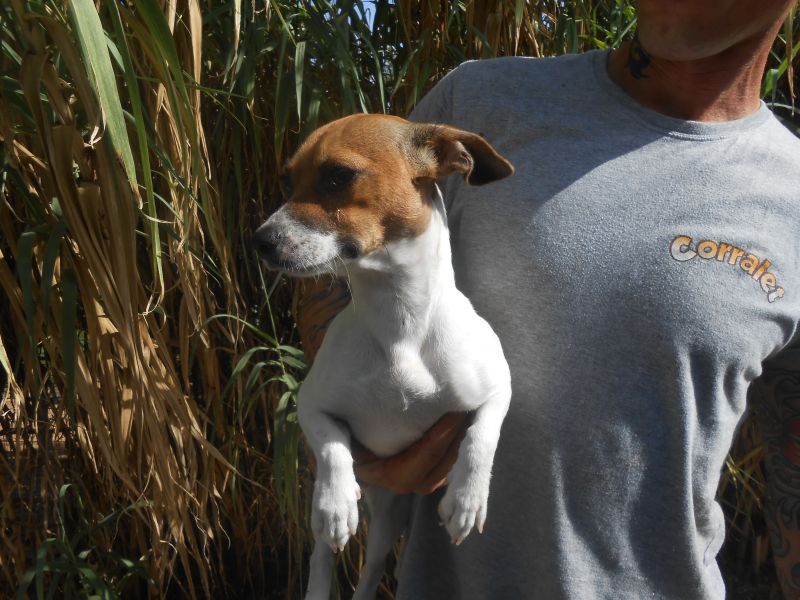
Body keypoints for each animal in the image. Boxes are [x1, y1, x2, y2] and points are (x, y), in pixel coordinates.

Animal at [255, 115, 512, 596]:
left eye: (338, 176)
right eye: (287, 180)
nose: (258, 241)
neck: (399, 321)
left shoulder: (498, 390)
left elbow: (482, 435)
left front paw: (467, 499)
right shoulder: (311, 405)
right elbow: (333, 447)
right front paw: (338, 497)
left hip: (390, 523)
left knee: (371, 571)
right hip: (338, 526)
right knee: (323, 557)